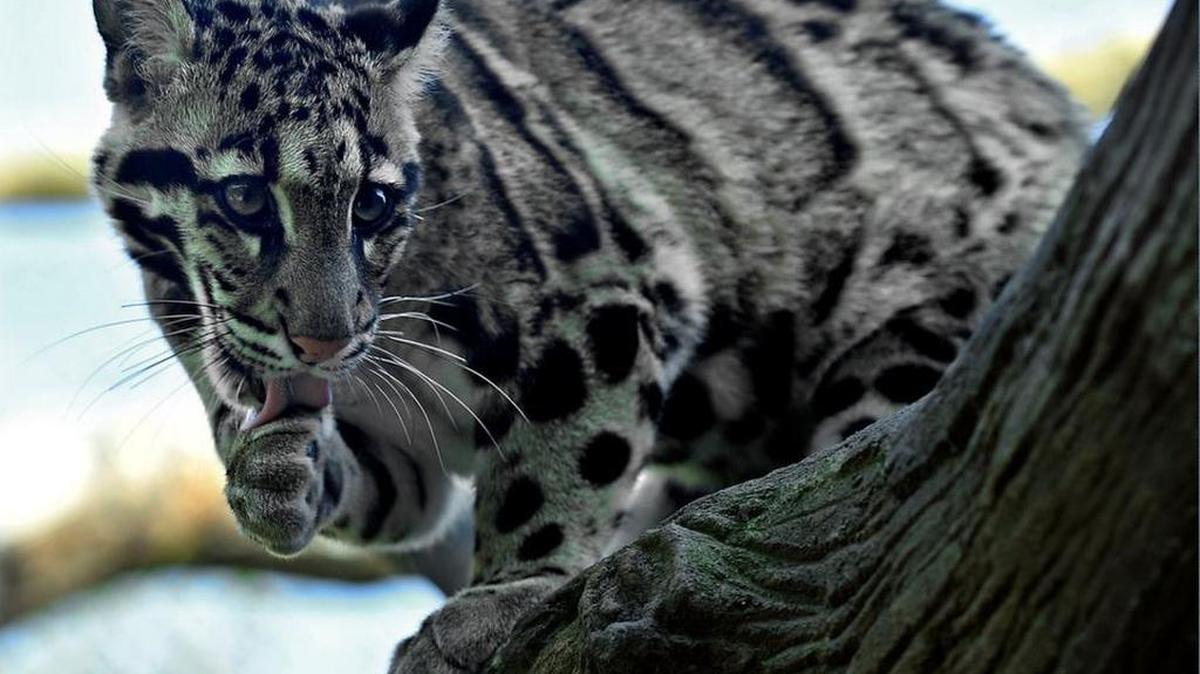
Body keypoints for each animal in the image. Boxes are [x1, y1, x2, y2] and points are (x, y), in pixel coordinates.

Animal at [90, 0, 1087, 670]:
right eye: (243, 196)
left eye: (372, 202)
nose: (327, 341)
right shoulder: (396, 449)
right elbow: (366, 485)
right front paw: (269, 472)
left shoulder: (597, 297)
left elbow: (559, 467)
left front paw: (502, 599)